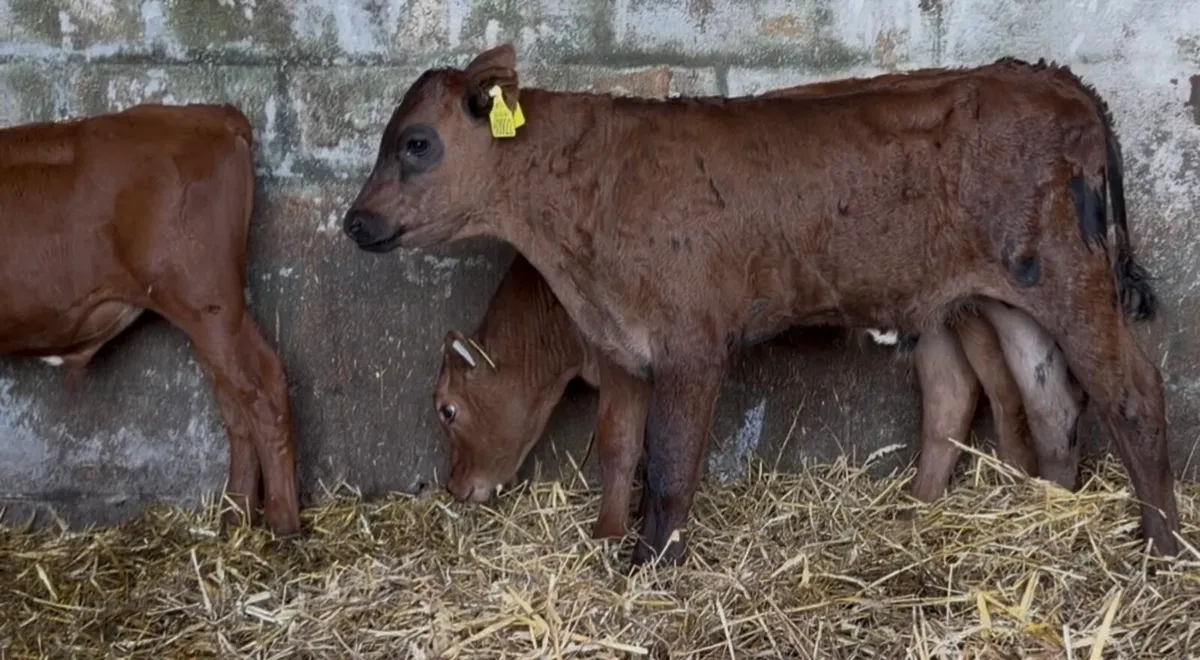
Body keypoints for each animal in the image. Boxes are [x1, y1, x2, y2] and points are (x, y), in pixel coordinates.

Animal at [0, 103, 301, 537]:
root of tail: (207, 114)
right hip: (210, 315)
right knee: (238, 403)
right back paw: (235, 515)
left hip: (205, 299)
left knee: (264, 391)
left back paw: (282, 521)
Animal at [343, 44, 1178, 565]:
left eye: (415, 143)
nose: (353, 221)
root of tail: (1052, 77)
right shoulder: (624, 342)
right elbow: (622, 446)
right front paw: (613, 541)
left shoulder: (688, 343)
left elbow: (669, 460)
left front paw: (652, 563)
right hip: (995, 296)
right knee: (1042, 398)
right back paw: (1040, 511)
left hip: (1069, 280)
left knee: (1133, 390)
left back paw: (1161, 540)